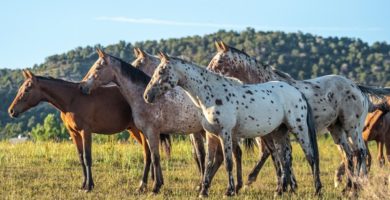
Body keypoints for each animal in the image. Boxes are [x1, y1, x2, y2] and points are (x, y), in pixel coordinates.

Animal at [8, 69, 171, 191]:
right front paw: (83, 184)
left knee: (148, 155)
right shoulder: (74, 134)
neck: (72, 99)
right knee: (151, 153)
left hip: (142, 131)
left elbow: (87, 158)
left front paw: (89, 186)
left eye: (27, 89)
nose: (11, 111)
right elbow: (81, 158)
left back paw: (145, 185)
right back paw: (157, 182)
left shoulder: (85, 131)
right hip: (135, 130)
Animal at [79, 49, 213, 195]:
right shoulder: (147, 134)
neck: (143, 98)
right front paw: (155, 185)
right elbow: (153, 157)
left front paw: (155, 187)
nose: (82, 86)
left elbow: (154, 158)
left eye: (98, 67)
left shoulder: (152, 132)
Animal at [145, 52, 322, 197]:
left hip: (299, 129)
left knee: (310, 157)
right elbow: (209, 162)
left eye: (161, 71)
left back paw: (317, 190)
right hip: (279, 132)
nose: (147, 96)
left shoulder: (226, 134)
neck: (211, 95)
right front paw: (203, 191)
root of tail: (298, 93)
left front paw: (229, 191)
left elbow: (228, 162)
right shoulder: (211, 136)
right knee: (284, 159)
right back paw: (282, 191)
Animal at [206, 41, 390, 191]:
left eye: (219, 61)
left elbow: (282, 157)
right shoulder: (274, 134)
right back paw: (349, 186)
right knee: (350, 155)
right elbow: (280, 157)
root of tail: (357, 87)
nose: (207, 73)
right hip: (337, 130)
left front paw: (284, 185)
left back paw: (357, 186)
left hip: (352, 127)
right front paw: (288, 185)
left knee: (360, 152)